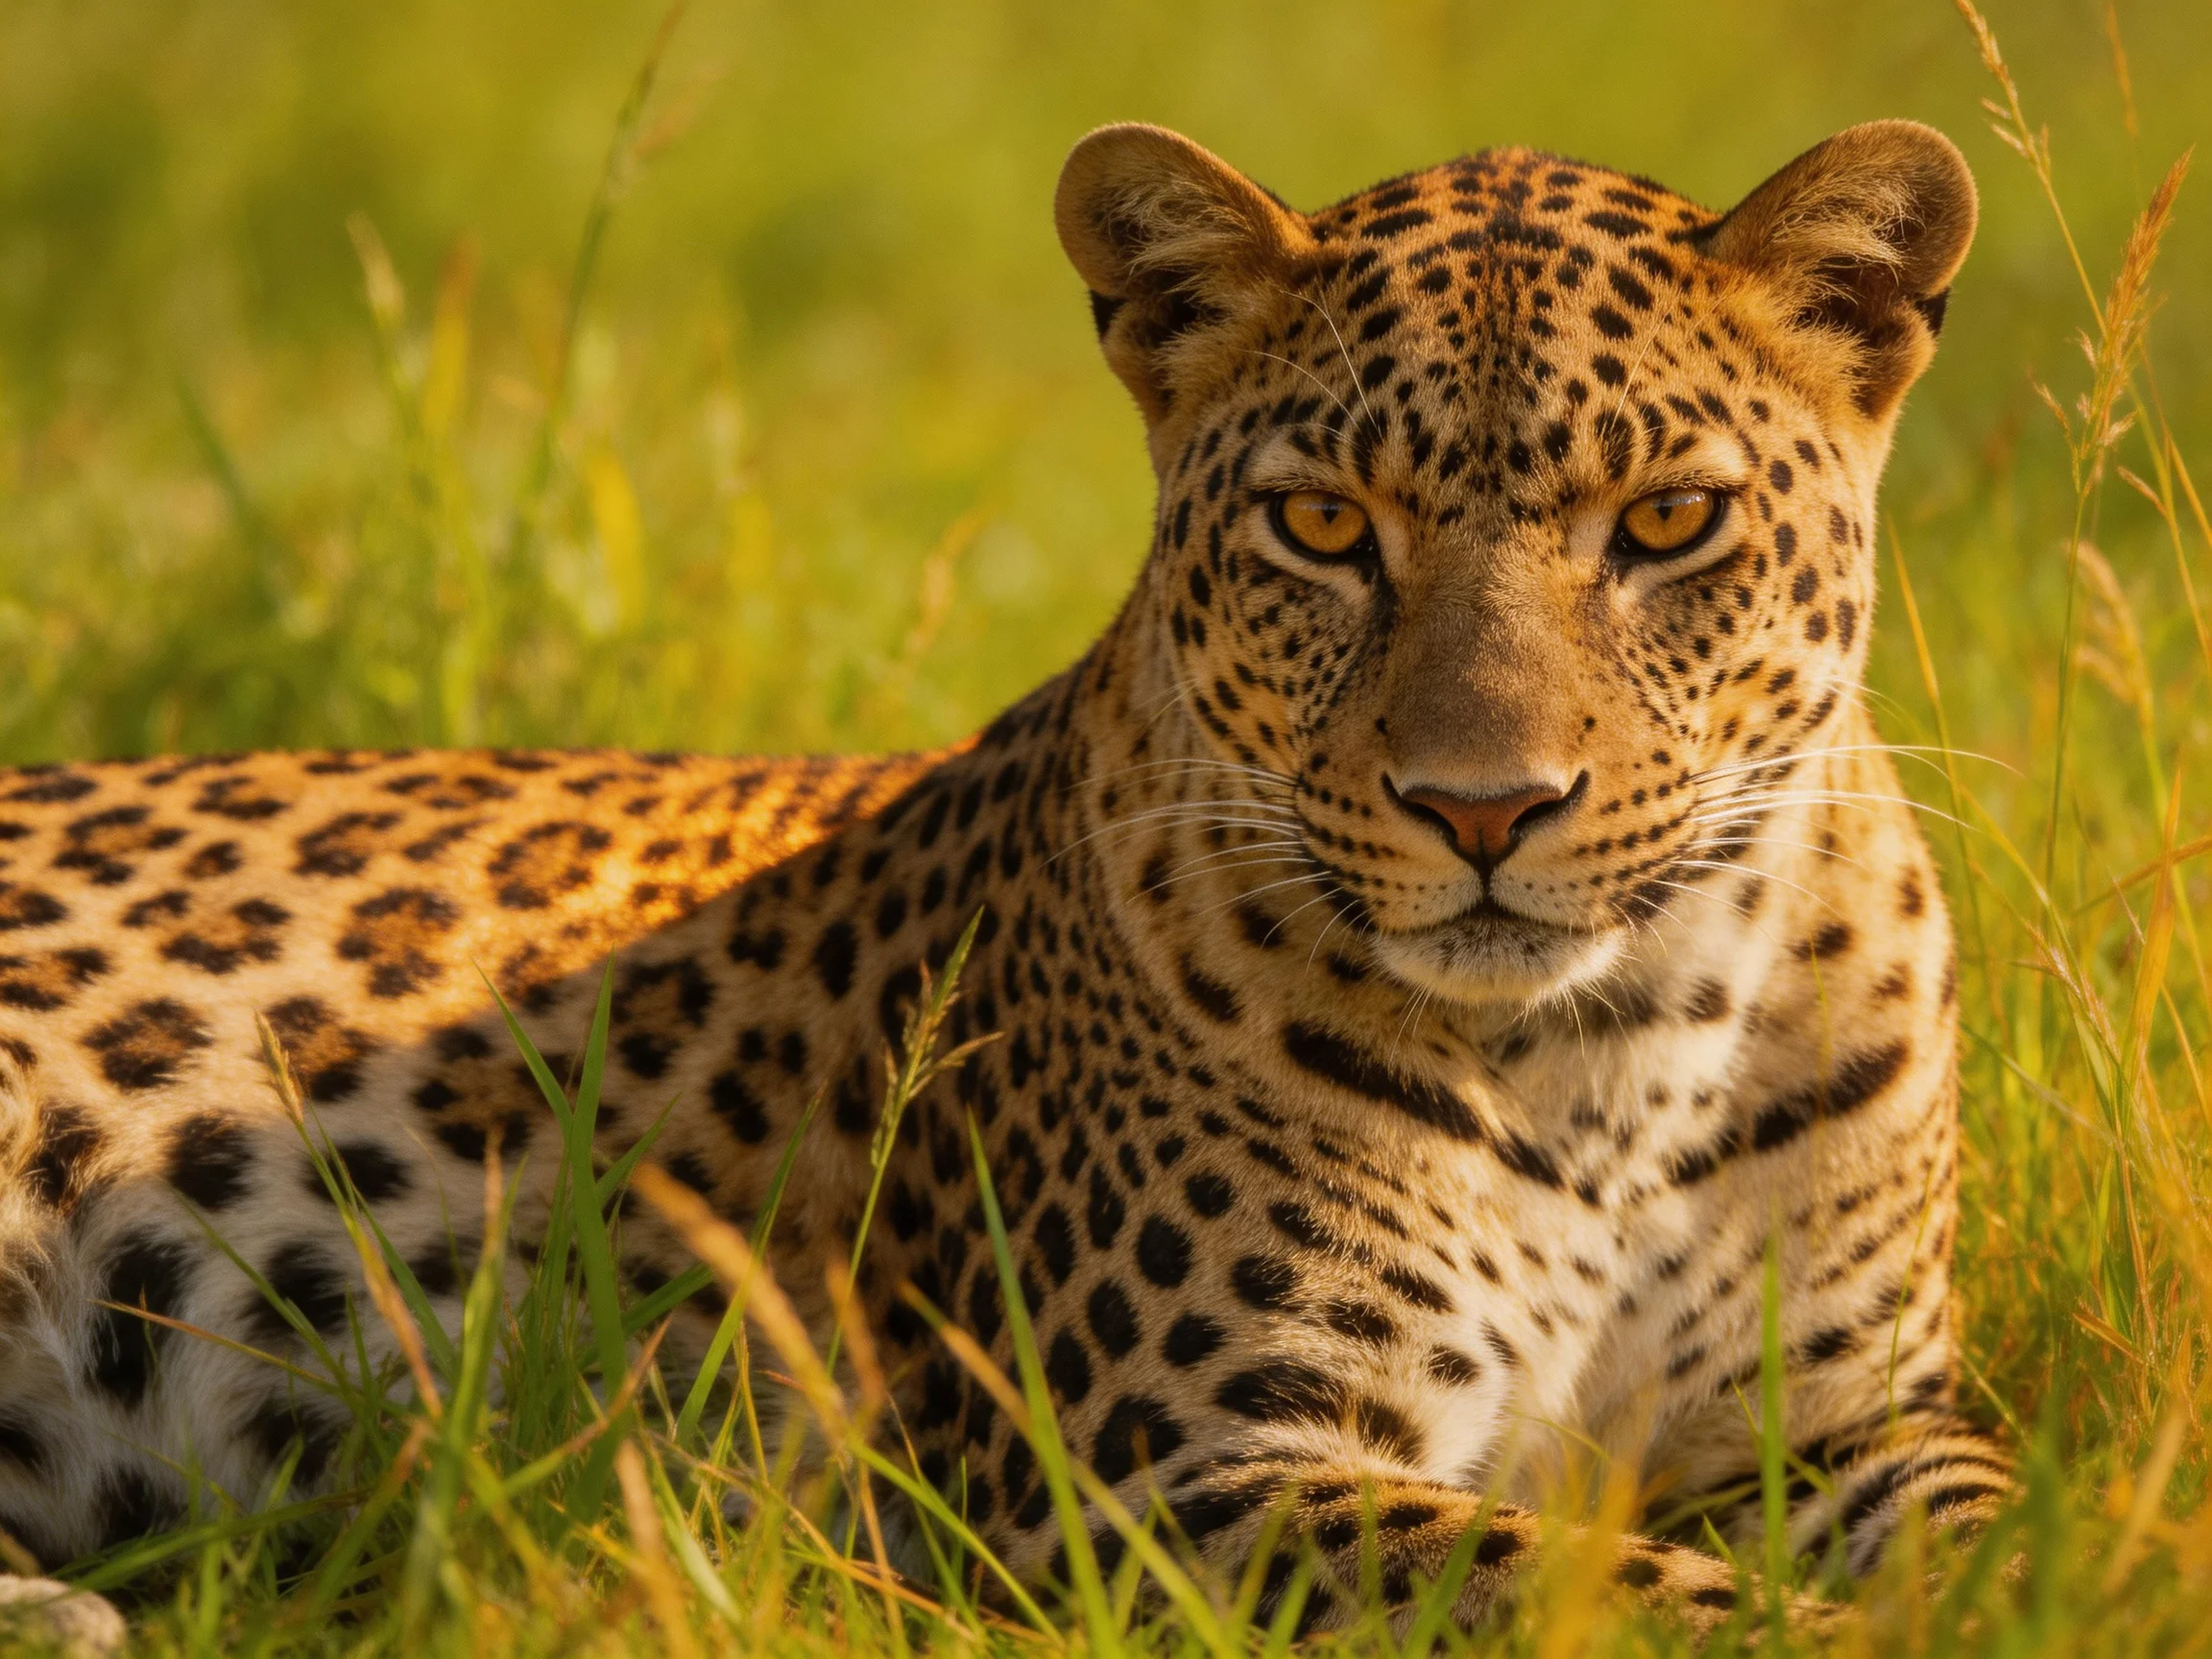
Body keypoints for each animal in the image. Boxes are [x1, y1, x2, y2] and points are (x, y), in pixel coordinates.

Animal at [0, 118, 2007, 1639]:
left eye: (1665, 522)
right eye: (1321, 526)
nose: (1482, 805)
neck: (1612, 1059)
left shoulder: (1850, 1421)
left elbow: (2007, 1523)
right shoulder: (1170, 1479)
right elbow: (1650, 1600)